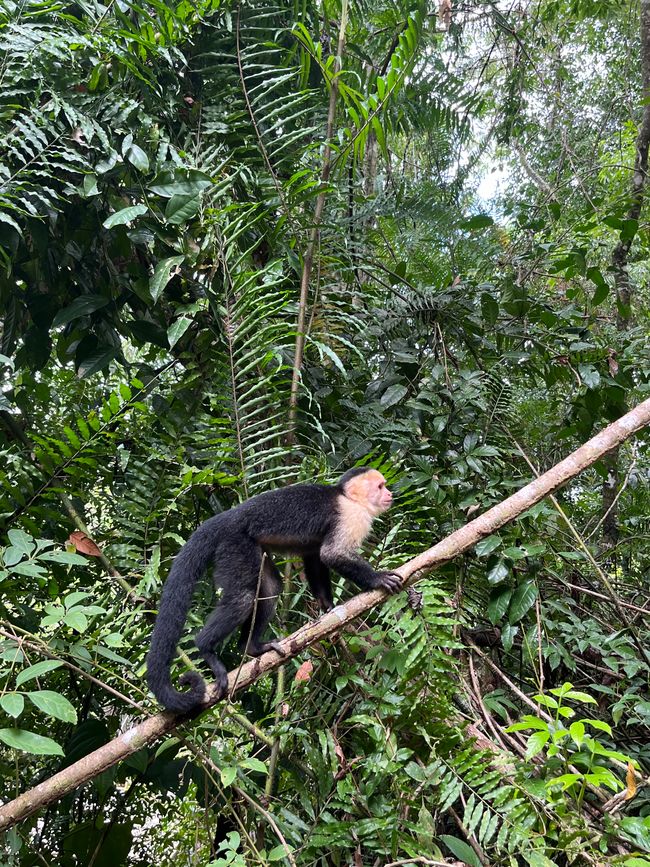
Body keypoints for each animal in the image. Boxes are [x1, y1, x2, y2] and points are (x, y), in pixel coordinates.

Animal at [147, 468, 400, 712]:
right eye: (380, 486)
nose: (390, 494)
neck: (346, 497)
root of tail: (227, 517)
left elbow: (315, 557)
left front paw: (327, 607)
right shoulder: (350, 515)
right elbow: (332, 554)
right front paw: (377, 579)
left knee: (270, 588)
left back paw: (252, 647)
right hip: (235, 544)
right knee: (242, 598)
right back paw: (206, 648)